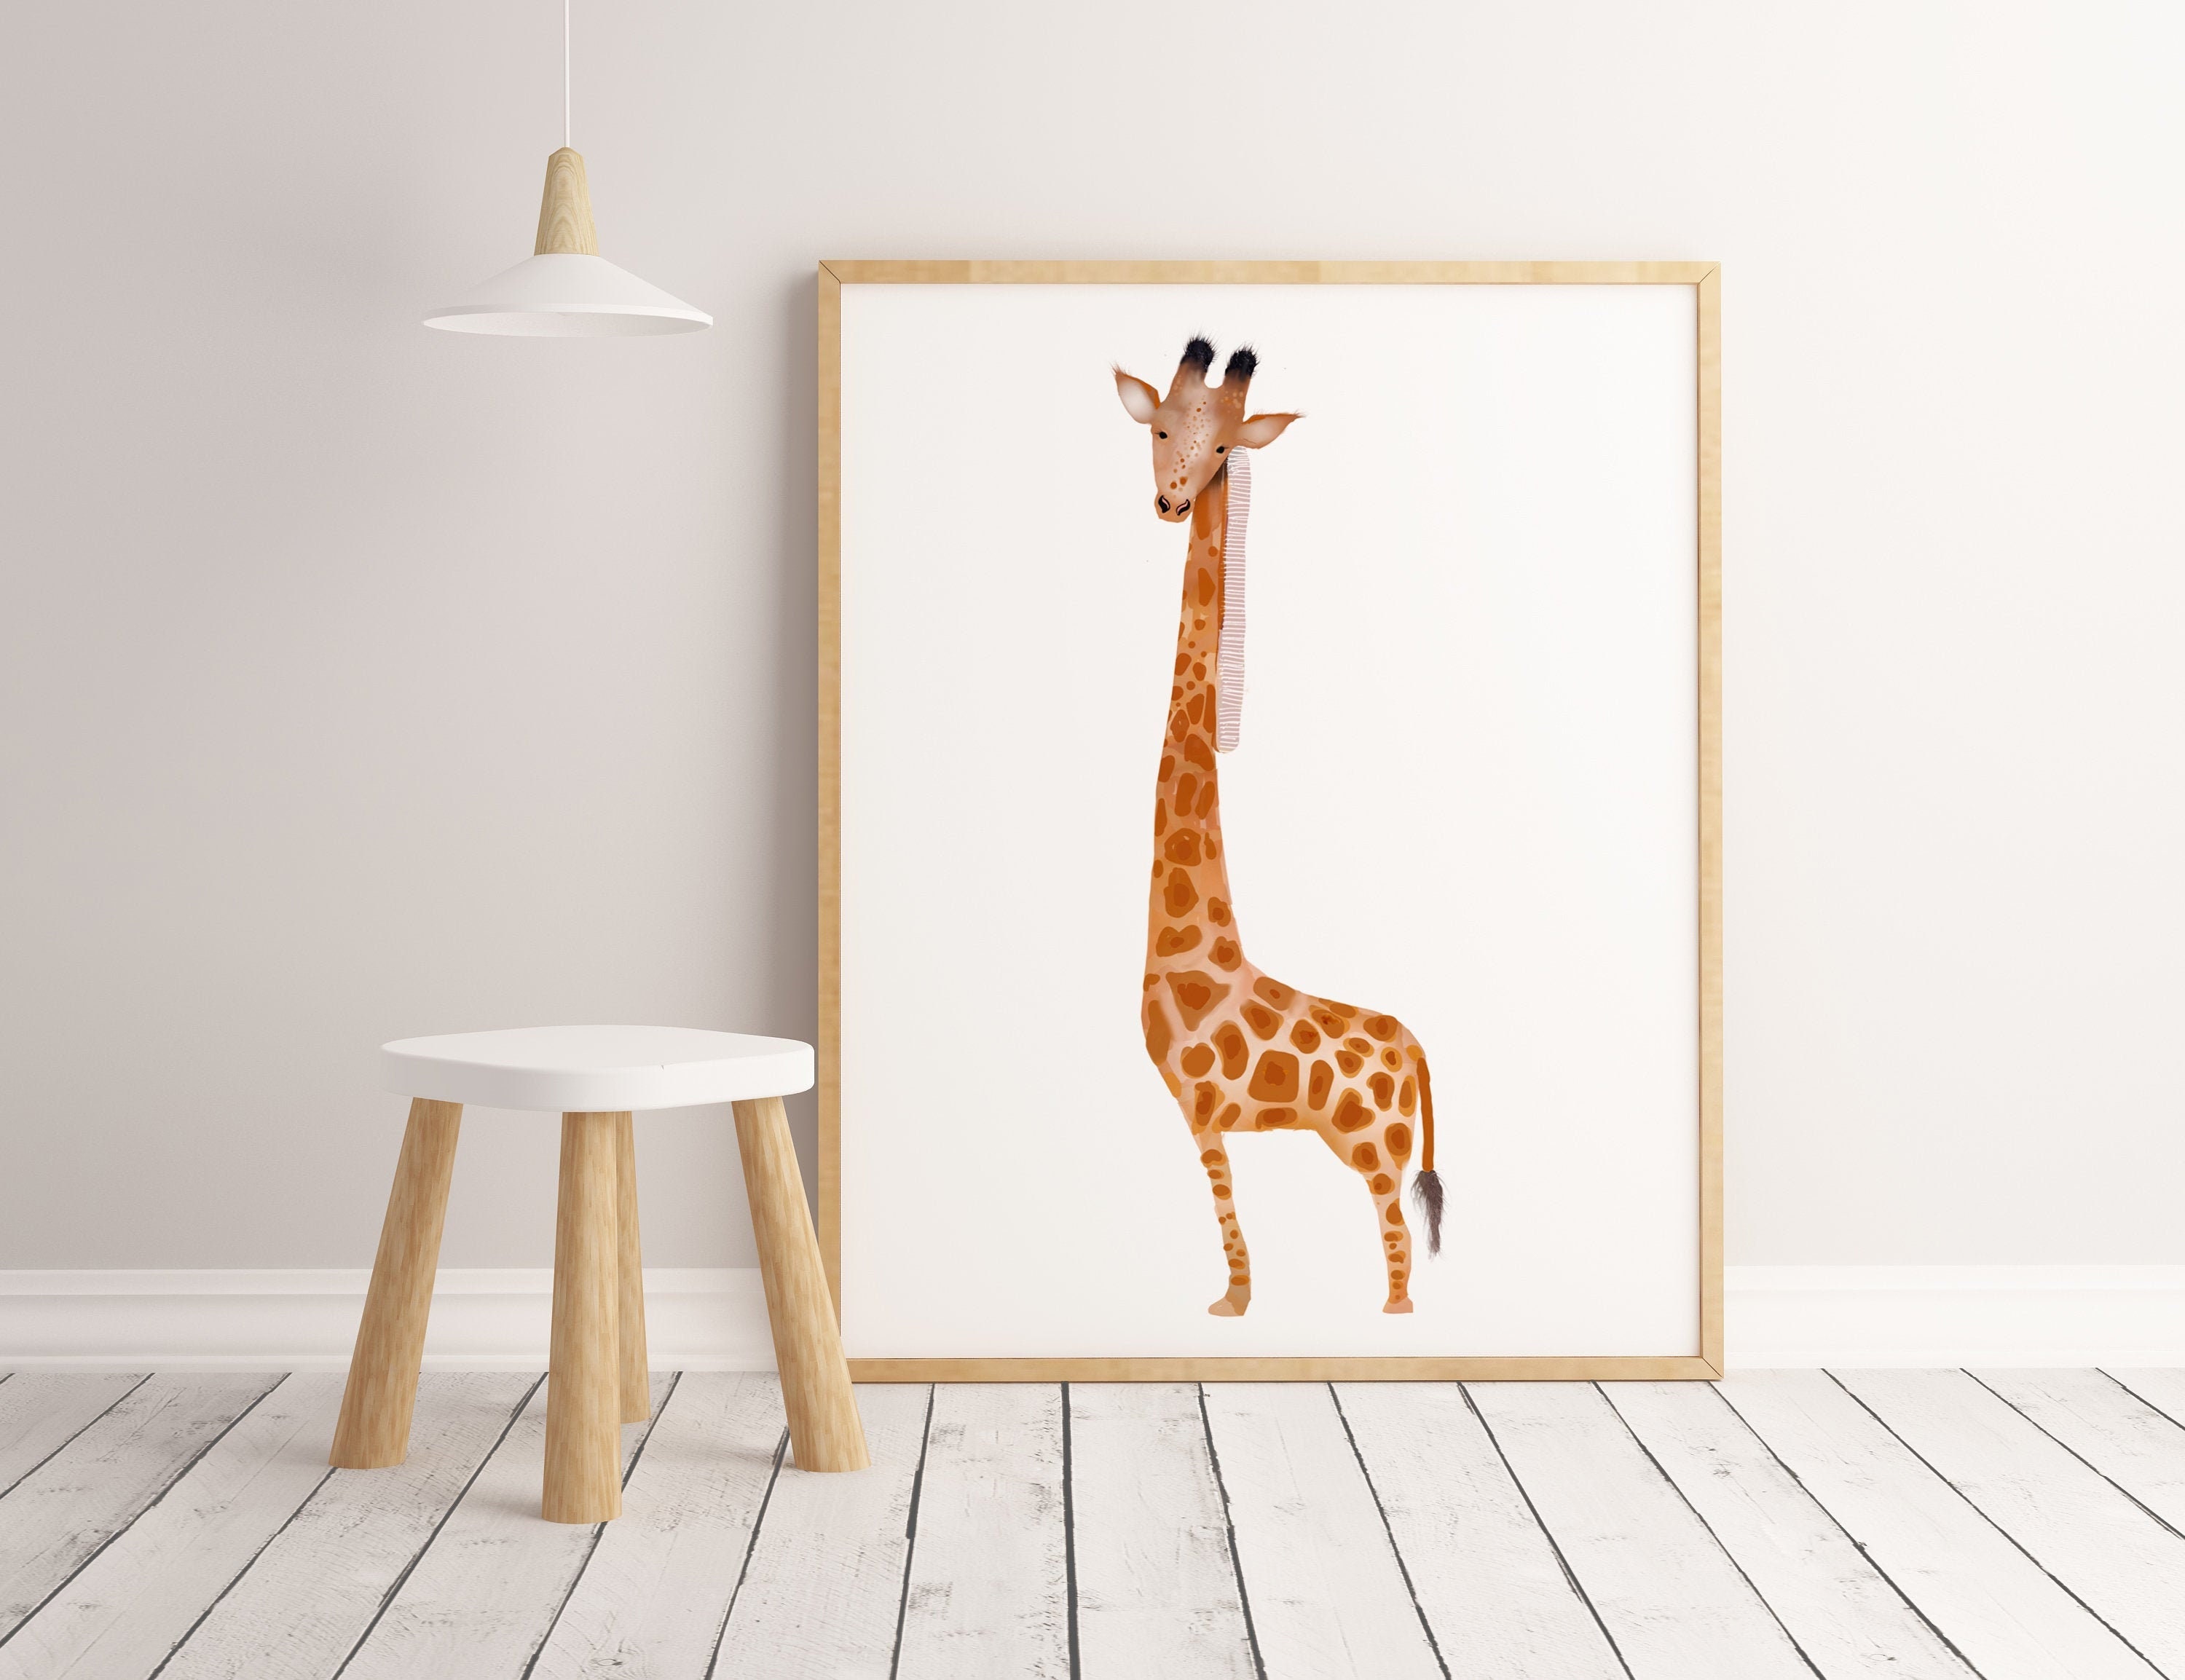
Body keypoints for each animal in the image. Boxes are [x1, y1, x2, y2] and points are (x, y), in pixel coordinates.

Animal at [1117, 337, 1445, 1317]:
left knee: (1399, 1251)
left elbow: (1226, 1212)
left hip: (1374, 1149)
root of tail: (1415, 1047)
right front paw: (1238, 1302)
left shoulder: (1200, 1110)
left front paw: (1233, 1305)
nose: (1171, 501)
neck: (1199, 947)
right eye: (1158, 427)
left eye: (1226, 449)